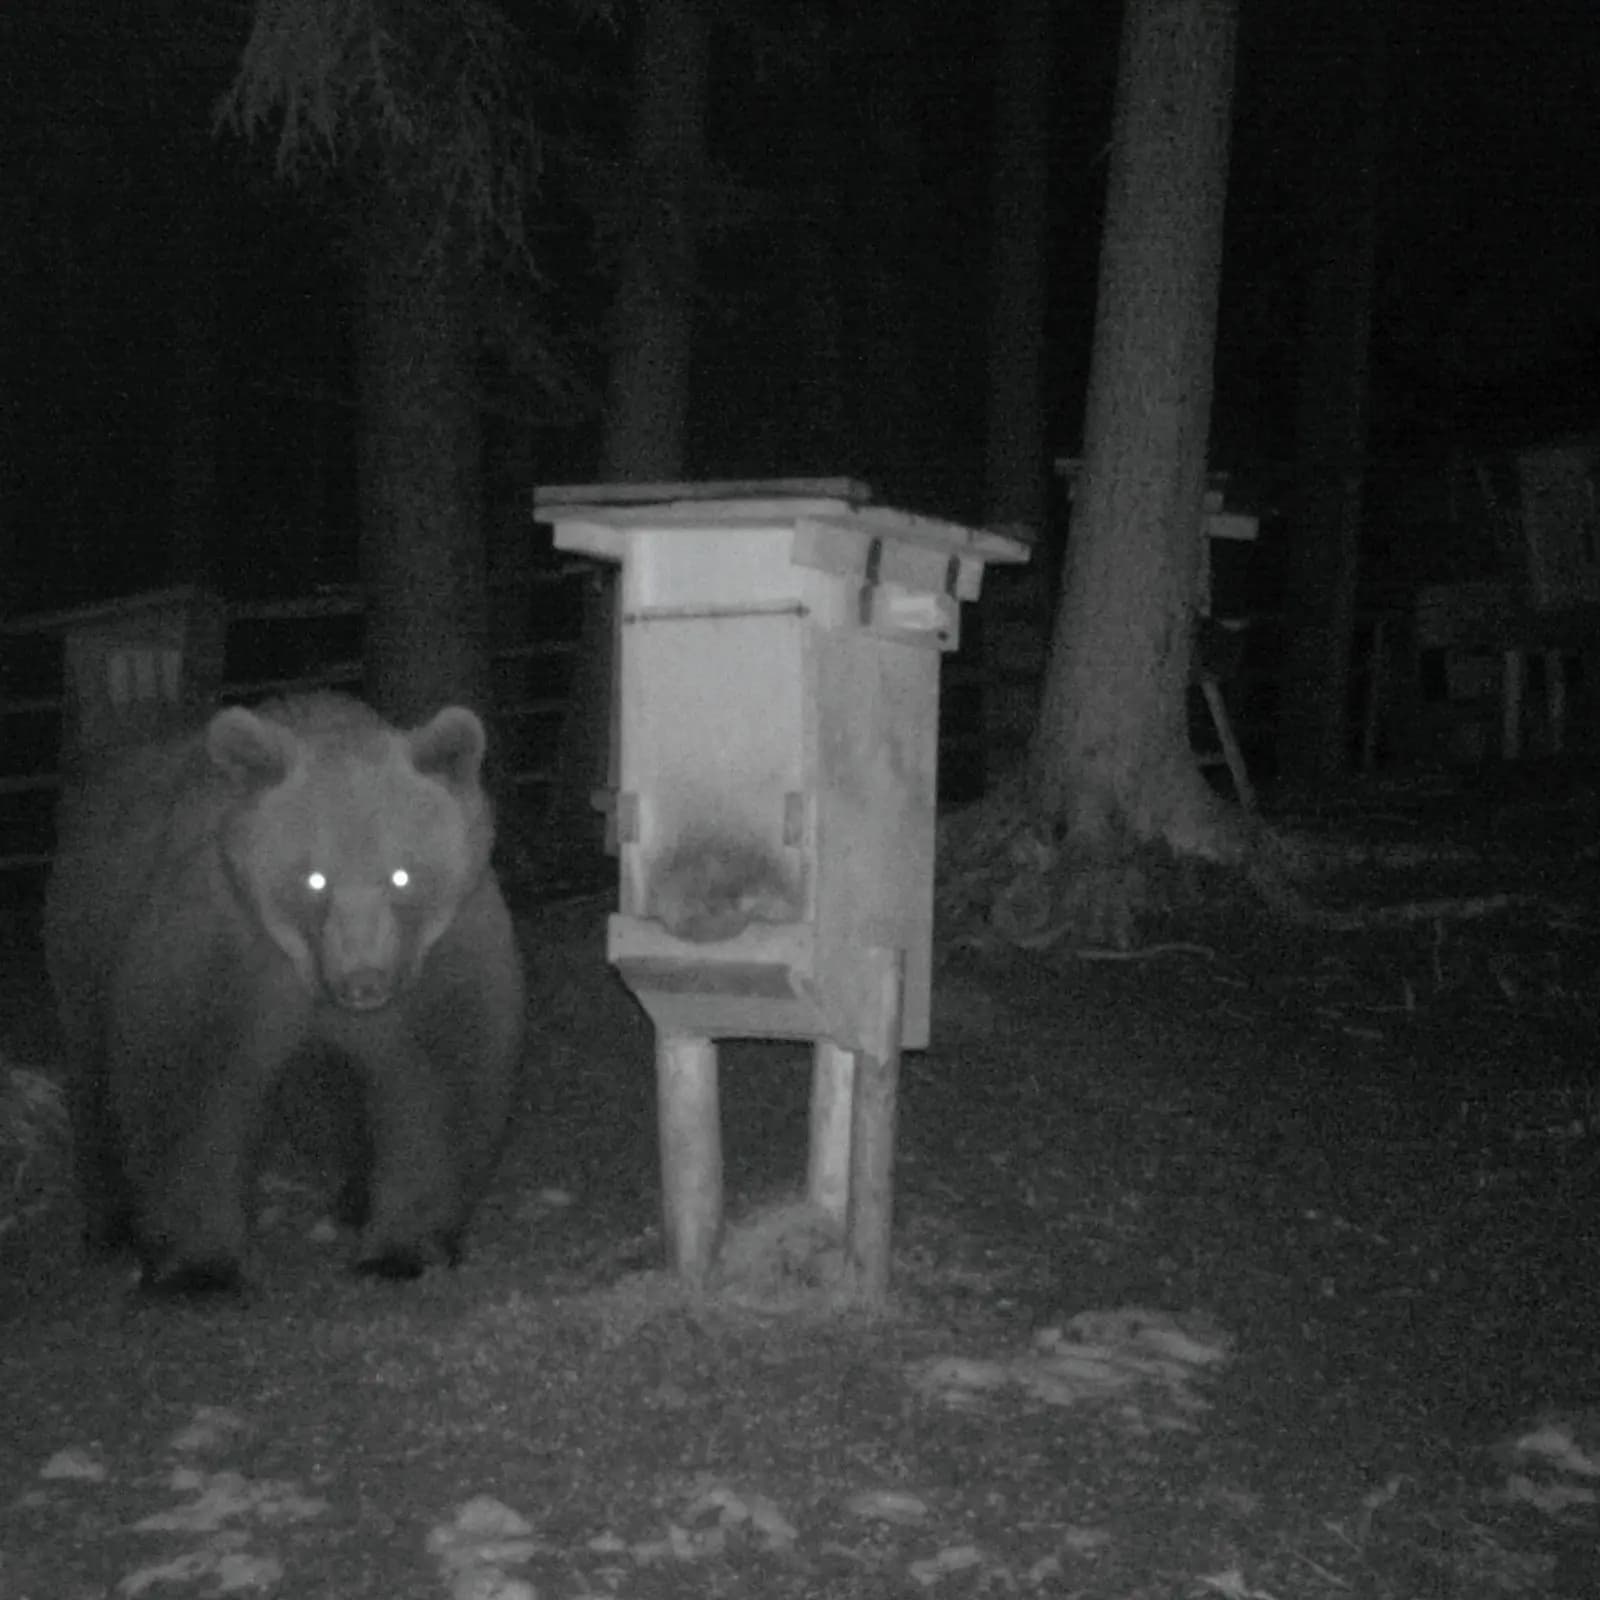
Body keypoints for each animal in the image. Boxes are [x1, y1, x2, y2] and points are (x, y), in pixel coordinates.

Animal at [43, 694, 524, 1292]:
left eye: (402, 876)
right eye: (313, 879)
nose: (362, 979)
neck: (309, 977)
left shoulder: (439, 956)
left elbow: (438, 1081)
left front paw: (403, 1249)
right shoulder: (229, 944)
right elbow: (192, 1088)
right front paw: (198, 1267)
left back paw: (354, 1197)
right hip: (87, 938)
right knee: (92, 1078)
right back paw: (111, 1226)